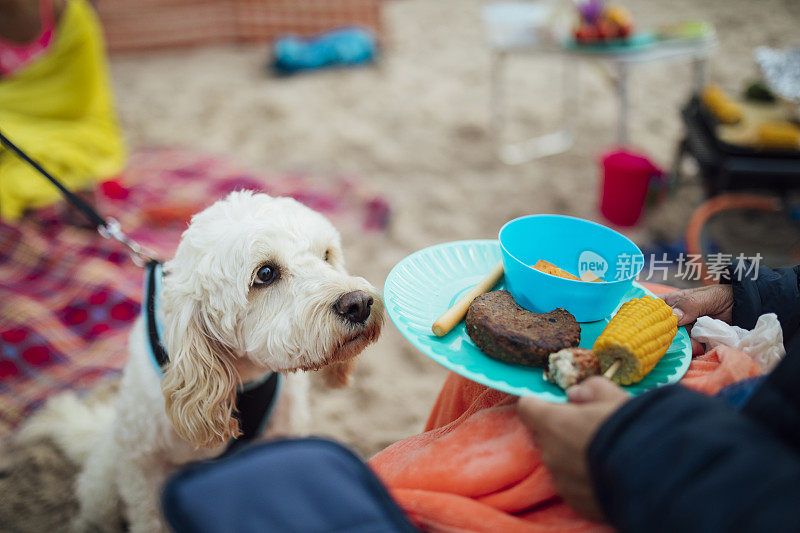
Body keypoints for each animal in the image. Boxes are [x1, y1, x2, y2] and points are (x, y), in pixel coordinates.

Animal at [18, 190, 382, 528]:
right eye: (265, 273)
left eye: (326, 255)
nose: (358, 303)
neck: (241, 376)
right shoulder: (142, 465)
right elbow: (150, 519)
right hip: (105, 483)